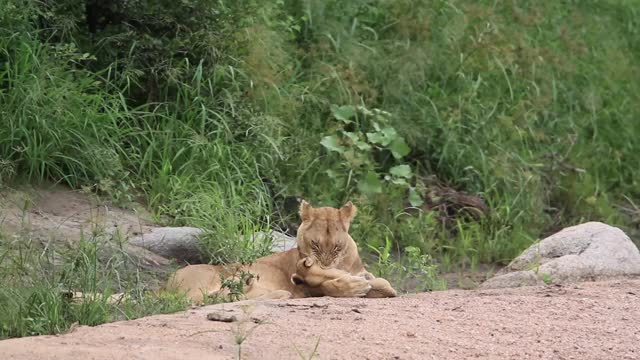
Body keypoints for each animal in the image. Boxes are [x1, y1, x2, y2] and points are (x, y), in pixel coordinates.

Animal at [165, 201, 396, 302]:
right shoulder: (308, 286)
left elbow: (382, 284)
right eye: (315, 244)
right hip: (207, 281)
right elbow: (329, 284)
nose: (323, 264)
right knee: (214, 298)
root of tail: (164, 286)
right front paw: (354, 284)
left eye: (337, 247)